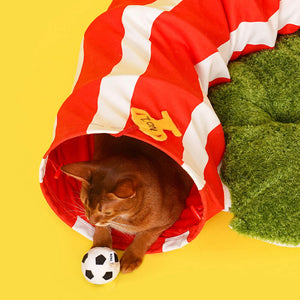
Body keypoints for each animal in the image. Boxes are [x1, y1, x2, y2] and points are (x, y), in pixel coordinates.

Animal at [61, 135, 192, 274]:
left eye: (107, 212)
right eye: (85, 202)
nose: (90, 220)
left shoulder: (172, 215)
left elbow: (146, 235)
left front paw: (131, 258)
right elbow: (102, 226)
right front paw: (101, 245)